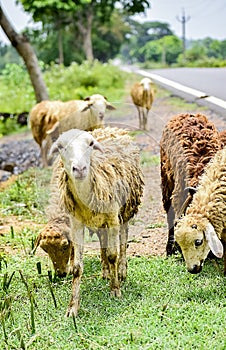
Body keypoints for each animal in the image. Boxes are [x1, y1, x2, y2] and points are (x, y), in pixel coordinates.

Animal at [44, 126, 143, 318]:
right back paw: (105, 271)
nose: (80, 168)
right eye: (60, 146)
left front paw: (115, 290)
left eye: (90, 144)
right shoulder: (76, 223)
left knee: (123, 240)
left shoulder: (113, 217)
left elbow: (113, 254)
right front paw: (72, 307)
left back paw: (121, 271)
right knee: (103, 241)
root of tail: (110, 128)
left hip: (126, 208)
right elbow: (77, 266)